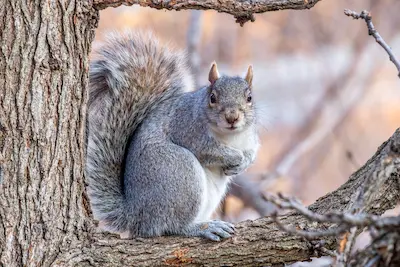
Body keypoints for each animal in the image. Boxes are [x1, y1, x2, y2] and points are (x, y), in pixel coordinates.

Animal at [86, 31, 260, 243]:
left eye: (249, 98)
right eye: (212, 97)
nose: (232, 117)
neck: (230, 136)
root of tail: (136, 215)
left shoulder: (250, 139)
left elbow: (252, 153)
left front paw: (243, 163)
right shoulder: (187, 129)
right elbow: (208, 151)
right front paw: (236, 158)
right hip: (179, 172)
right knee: (172, 226)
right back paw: (202, 228)